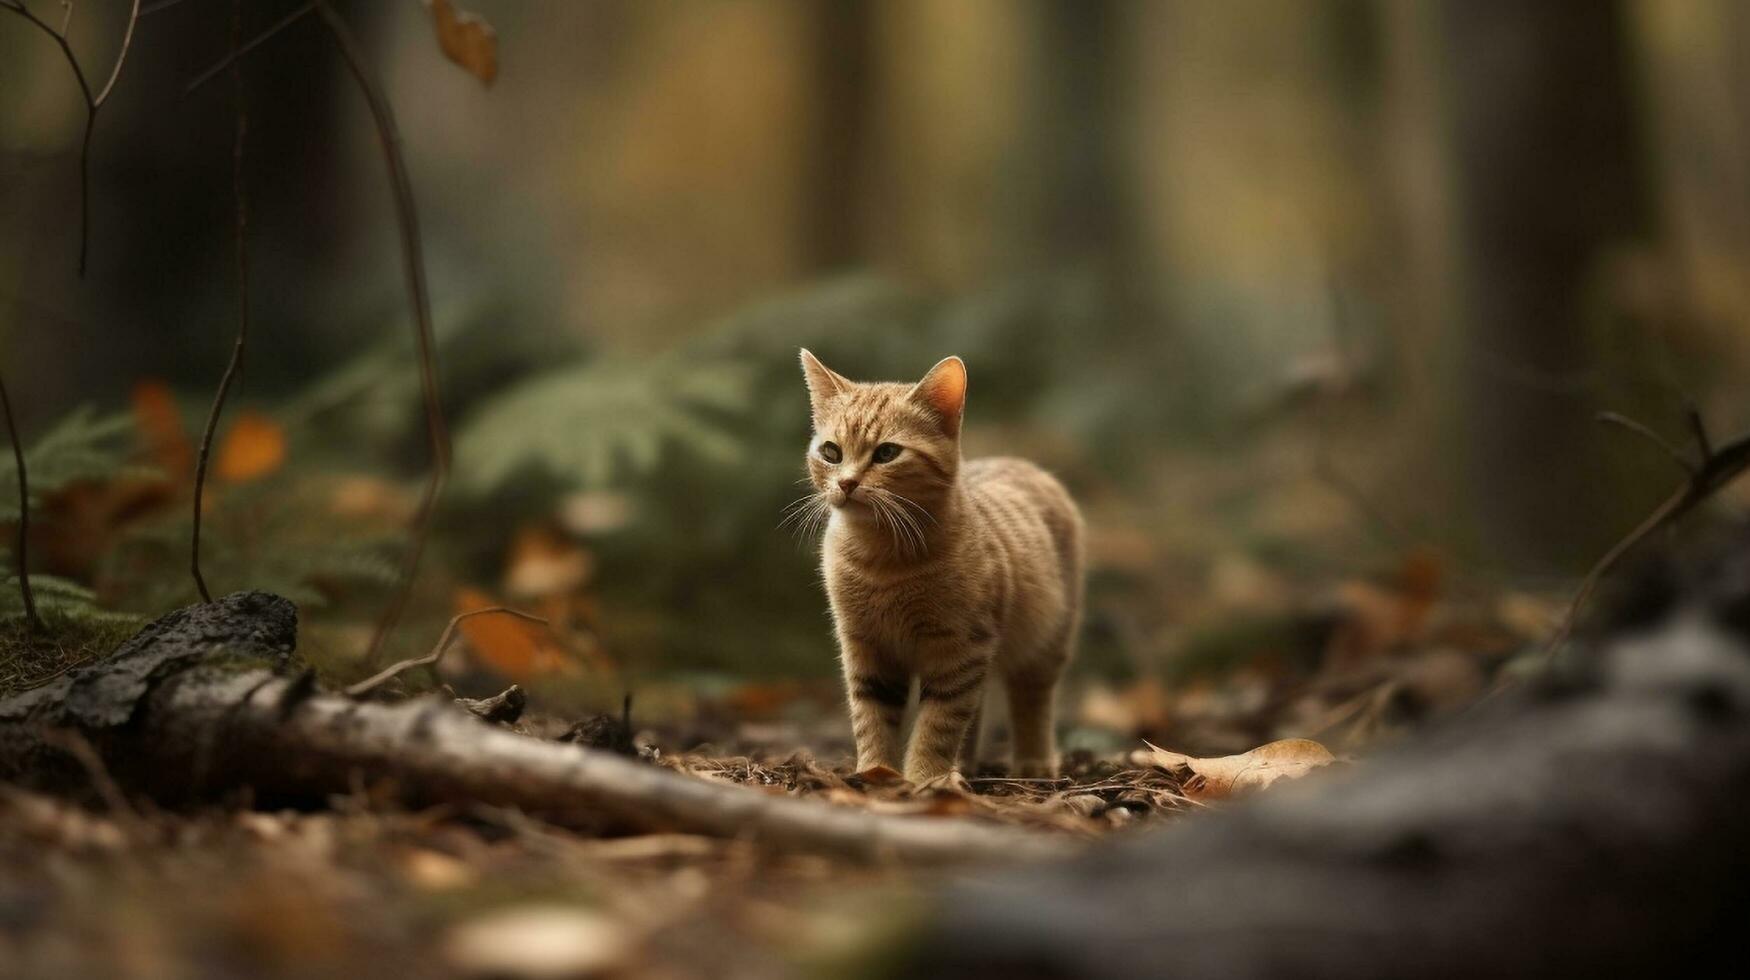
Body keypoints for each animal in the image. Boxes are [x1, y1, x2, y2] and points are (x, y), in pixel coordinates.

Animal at [791, 351, 1078, 780]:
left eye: (886, 453)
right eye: (831, 452)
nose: (845, 483)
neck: (881, 560)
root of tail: (1016, 461)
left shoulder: (960, 648)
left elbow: (938, 723)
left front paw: (925, 778)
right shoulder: (865, 647)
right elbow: (871, 716)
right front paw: (876, 773)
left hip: (1048, 641)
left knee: (1032, 699)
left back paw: (1034, 762)